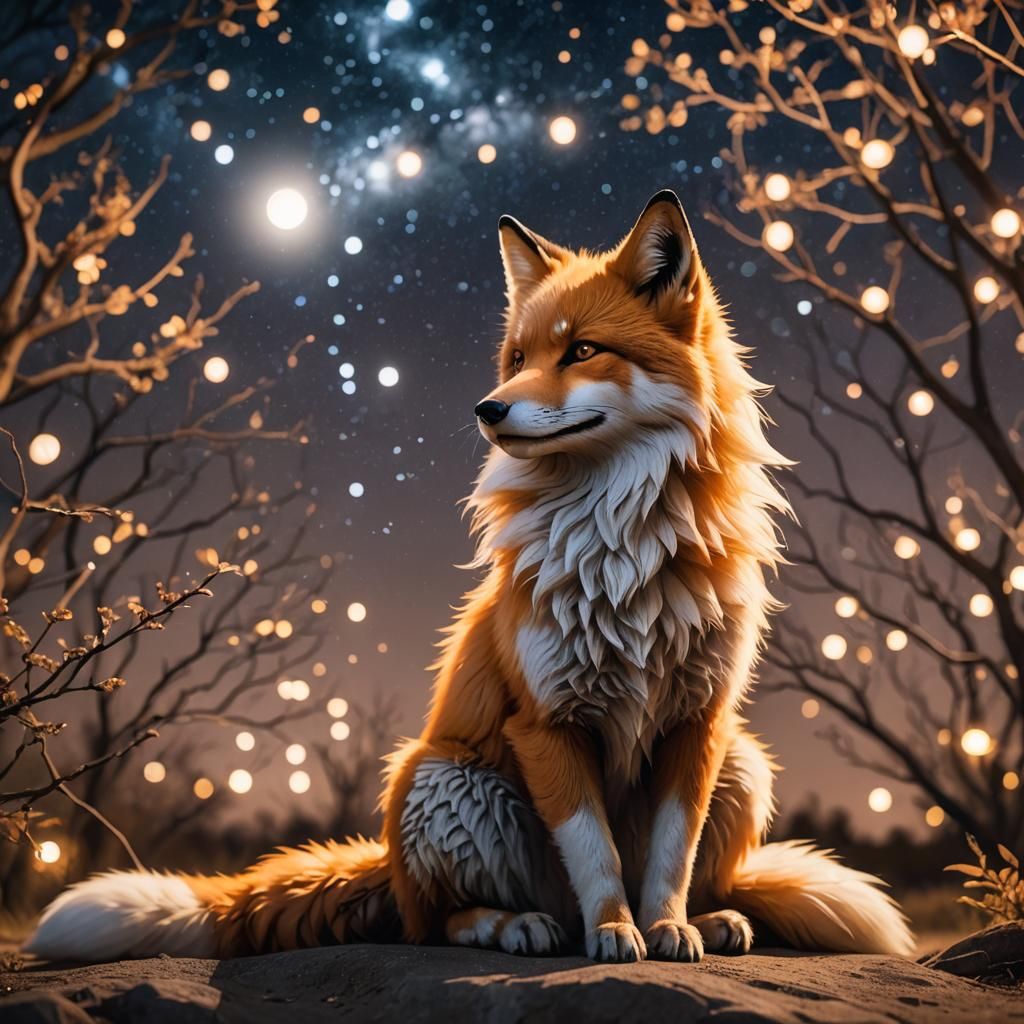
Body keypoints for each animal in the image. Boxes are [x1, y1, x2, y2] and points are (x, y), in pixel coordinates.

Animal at [25, 190, 914, 965]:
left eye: (581, 349)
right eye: (517, 357)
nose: (487, 408)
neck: (620, 546)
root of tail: (389, 864)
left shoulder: (698, 721)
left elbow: (667, 860)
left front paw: (665, 929)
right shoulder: (547, 721)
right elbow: (597, 860)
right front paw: (614, 934)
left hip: (743, 761)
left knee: (708, 878)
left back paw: (716, 918)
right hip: (445, 780)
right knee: (441, 924)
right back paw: (517, 926)